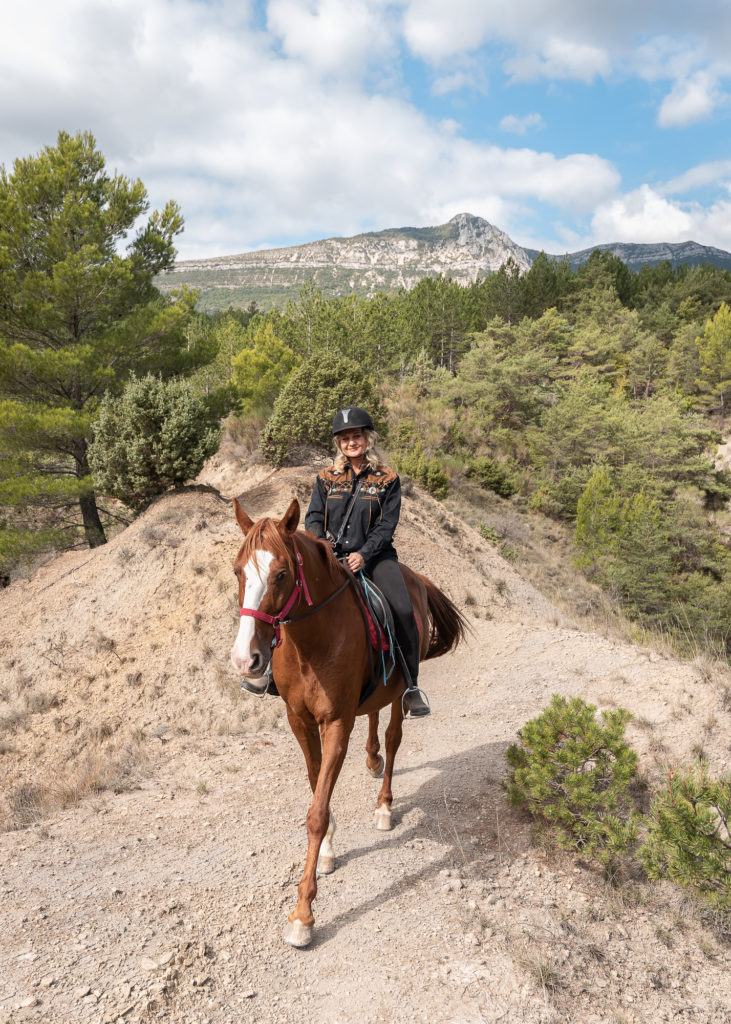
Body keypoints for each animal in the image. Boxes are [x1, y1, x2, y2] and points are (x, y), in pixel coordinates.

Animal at [230, 495, 464, 942]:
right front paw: (328, 850)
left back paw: (385, 805)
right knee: (373, 717)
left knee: (392, 737)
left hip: (401, 695)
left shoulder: (337, 722)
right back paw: (371, 760)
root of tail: (417, 579)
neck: (312, 642)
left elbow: (316, 812)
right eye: (238, 571)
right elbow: (315, 783)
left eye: (281, 574)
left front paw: (303, 914)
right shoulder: (299, 720)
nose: (245, 659)